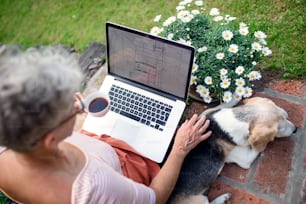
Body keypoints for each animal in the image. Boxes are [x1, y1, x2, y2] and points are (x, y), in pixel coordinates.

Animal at [169, 97, 298, 204]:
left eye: (286, 116)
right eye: (279, 129)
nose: (295, 129)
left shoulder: (203, 116)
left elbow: (219, 106)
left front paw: (234, 98)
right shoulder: (245, 160)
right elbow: (256, 148)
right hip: (199, 200)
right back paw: (223, 198)